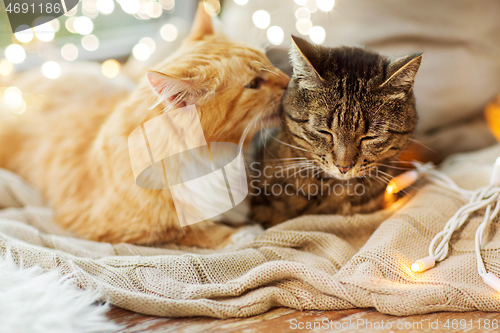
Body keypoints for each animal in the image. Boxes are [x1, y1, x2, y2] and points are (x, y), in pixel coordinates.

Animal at [0, 3, 290, 246]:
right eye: (254, 84)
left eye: (268, 60)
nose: (290, 82)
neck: (219, 158)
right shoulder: (121, 228)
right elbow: (195, 230)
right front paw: (242, 233)